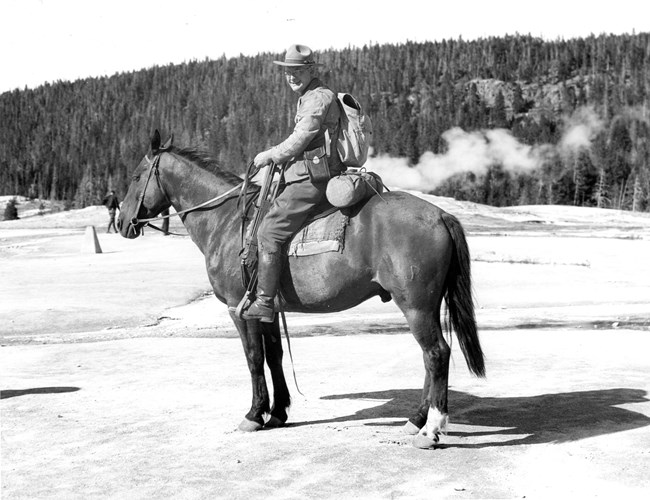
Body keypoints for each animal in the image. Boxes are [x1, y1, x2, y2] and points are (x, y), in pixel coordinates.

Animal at [116, 131, 484, 448]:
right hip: (425, 306)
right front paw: (278, 412)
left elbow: (254, 358)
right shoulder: (266, 308)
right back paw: (416, 420)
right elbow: (274, 356)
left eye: (136, 176)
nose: (121, 222)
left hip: (416, 305)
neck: (227, 221)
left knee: (436, 353)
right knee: (431, 357)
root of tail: (440, 215)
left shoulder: (238, 308)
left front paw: (254, 414)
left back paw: (431, 430)